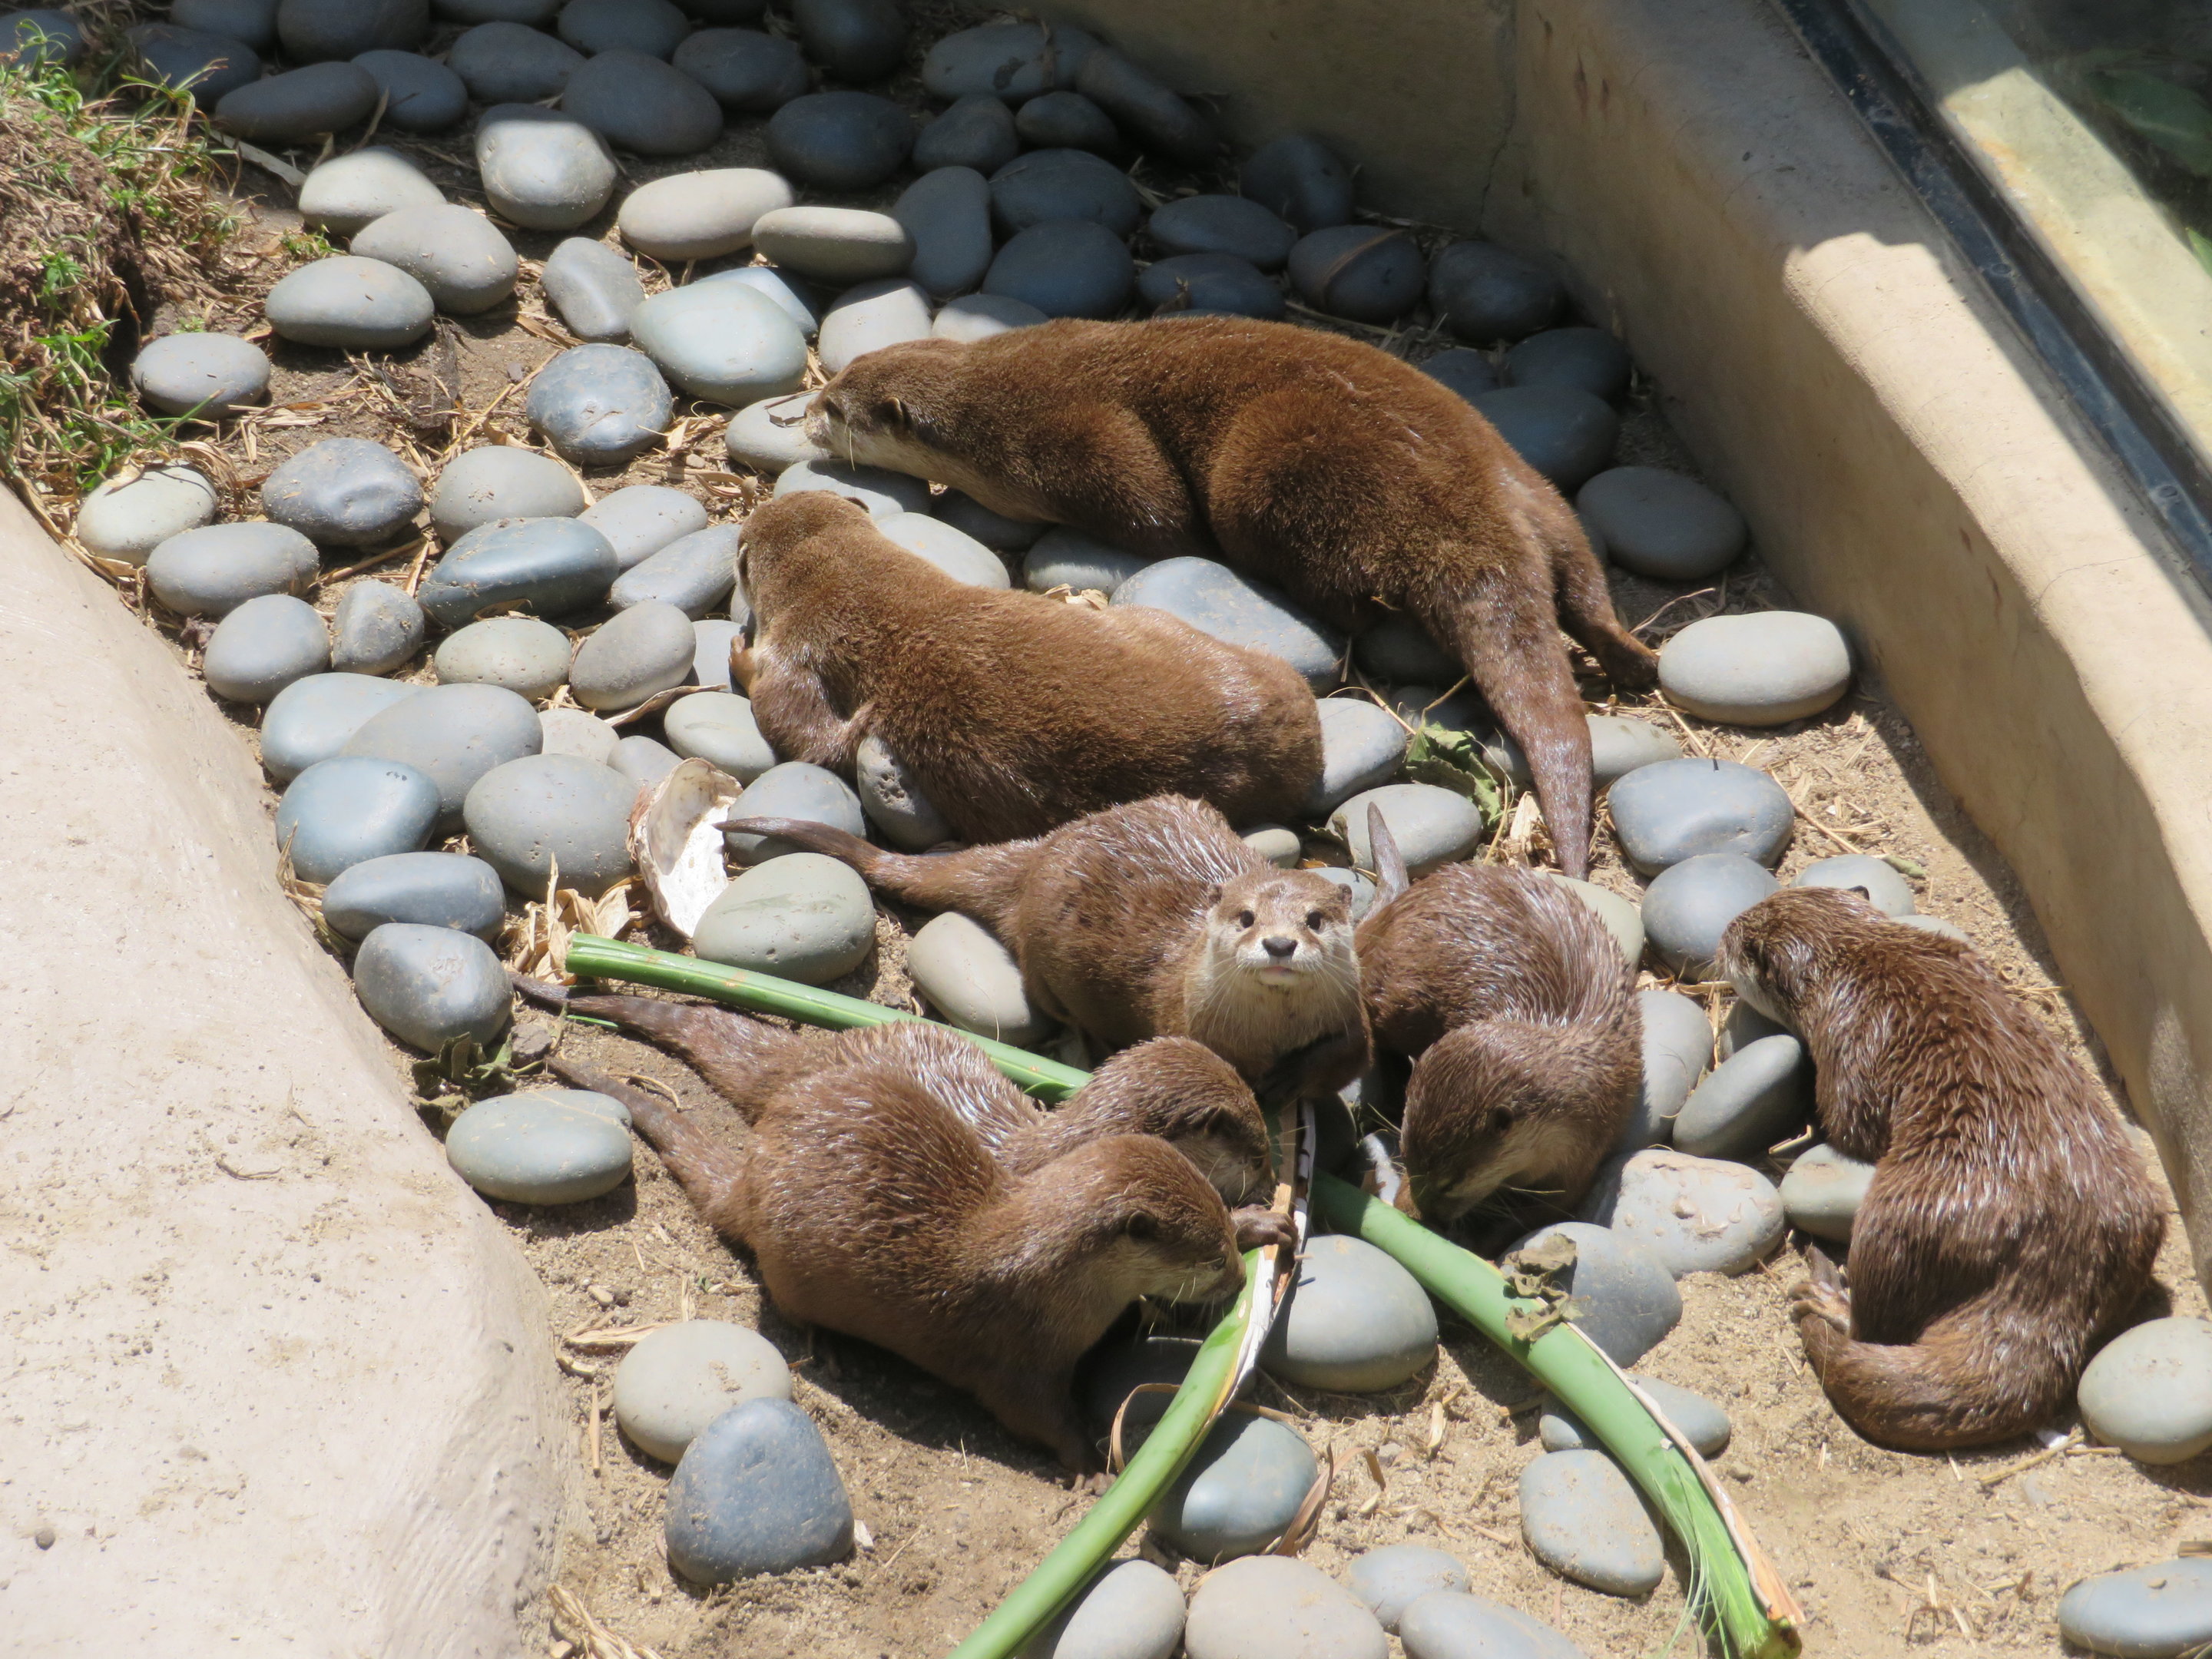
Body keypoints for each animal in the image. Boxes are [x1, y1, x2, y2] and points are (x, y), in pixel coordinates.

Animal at [549, 1030, 1290, 1471]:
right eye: (1204, 1259)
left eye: (1220, 1245)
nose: (1234, 1277)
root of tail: (753, 1177)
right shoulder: (1016, 1361)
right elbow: (1035, 1418)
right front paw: (1098, 1464)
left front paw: (1258, 1224)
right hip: (789, 1267)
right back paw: (834, 1348)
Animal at [717, 795, 1369, 1102]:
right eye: (1246, 917)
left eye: (1314, 919)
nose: (1280, 944)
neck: (1271, 1035)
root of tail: (1043, 850)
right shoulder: (1181, 1016)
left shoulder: (1353, 1017)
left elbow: (1349, 1059)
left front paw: (1295, 1078)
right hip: (1047, 960)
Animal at [804, 316, 1659, 879]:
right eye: (835, 380)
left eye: (838, 407)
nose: (802, 411)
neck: (1000, 394)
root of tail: (1474, 515)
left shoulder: (1071, 444)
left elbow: (1159, 514)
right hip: (1536, 492)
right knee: (1582, 583)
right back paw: (1633, 661)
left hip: (1268, 475)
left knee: (1341, 594)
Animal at [1354, 812, 1640, 1228]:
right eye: (1404, 1157)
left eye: (1450, 1182)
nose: (1410, 1213)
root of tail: (1396, 909)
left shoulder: (1583, 1156)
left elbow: (1549, 1212)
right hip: (1398, 998)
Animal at [1718, 887, 2165, 1451]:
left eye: (1741, 941)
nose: (1722, 933)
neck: (1865, 960)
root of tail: (2058, 1262)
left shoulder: (1849, 1038)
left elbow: (1848, 1123)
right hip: (2141, 1216)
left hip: (1900, 1216)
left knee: (1877, 1319)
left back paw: (1827, 1303)